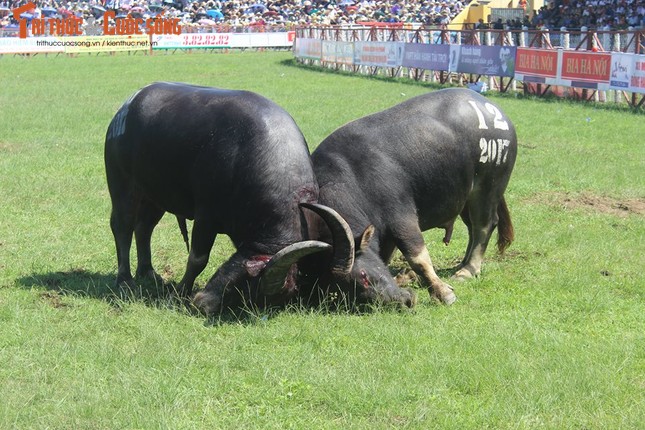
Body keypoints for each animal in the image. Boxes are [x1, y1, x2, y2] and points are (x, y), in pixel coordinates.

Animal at [103, 82, 338, 314]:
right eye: (249, 281)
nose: (204, 305)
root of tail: (126, 108)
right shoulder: (206, 216)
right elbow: (197, 258)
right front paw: (180, 292)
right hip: (122, 184)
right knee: (123, 226)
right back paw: (125, 280)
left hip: (154, 195)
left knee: (144, 228)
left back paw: (148, 272)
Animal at [308, 86, 520, 302]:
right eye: (334, 291)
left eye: (363, 276)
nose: (396, 300)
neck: (350, 177)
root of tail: (497, 112)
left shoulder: (401, 216)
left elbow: (418, 257)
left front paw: (443, 292)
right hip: (465, 198)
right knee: (471, 228)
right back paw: (461, 263)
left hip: (488, 187)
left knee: (484, 225)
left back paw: (468, 270)